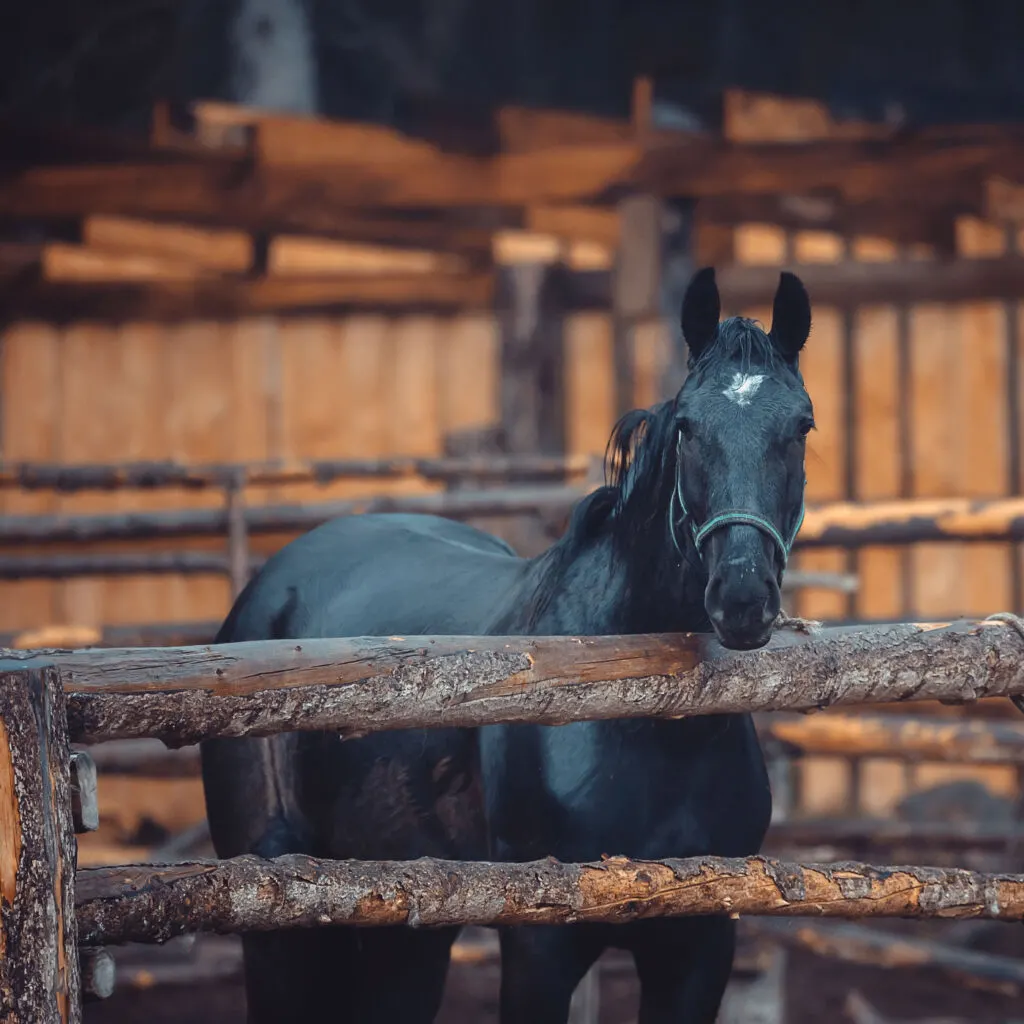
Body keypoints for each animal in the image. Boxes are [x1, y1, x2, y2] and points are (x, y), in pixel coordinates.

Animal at [201, 268, 815, 1019]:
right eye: (689, 428)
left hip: (406, 933)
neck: (642, 723)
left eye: (801, 426)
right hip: (274, 913)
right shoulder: (539, 945)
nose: (743, 596)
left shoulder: (700, 946)